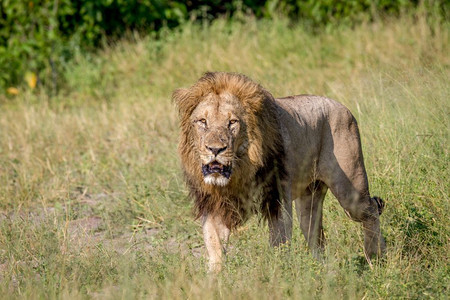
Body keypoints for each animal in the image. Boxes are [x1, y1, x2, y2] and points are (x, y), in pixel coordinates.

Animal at [173, 72, 386, 272]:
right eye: (202, 121)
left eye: (232, 122)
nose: (215, 149)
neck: (238, 173)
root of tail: (342, 106)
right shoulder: (213, 205)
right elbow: (215, 247)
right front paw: (214, 280)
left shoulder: (277, 198)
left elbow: (279, 243)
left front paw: (278, 273)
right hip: (310, 199)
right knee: (316, 237)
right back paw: (322, 272)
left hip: (350, 190)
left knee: (371, 208)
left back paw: (376, 258)